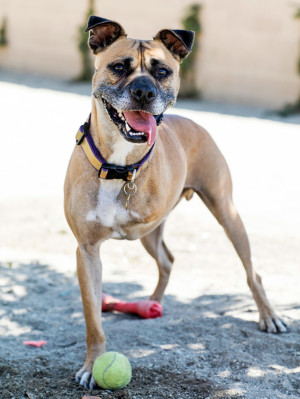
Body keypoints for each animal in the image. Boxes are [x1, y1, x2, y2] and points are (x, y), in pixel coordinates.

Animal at [63, 17, 286, 390]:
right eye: (118, 67)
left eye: (163, 71)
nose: (144, 92)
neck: (120, 165)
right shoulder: (87, 251)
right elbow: (93, 319)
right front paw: (92, 366)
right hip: (150, 235)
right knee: (167, 260)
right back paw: (151, 303)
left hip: (227, 213)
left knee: (252, 271)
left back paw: (269, 316)